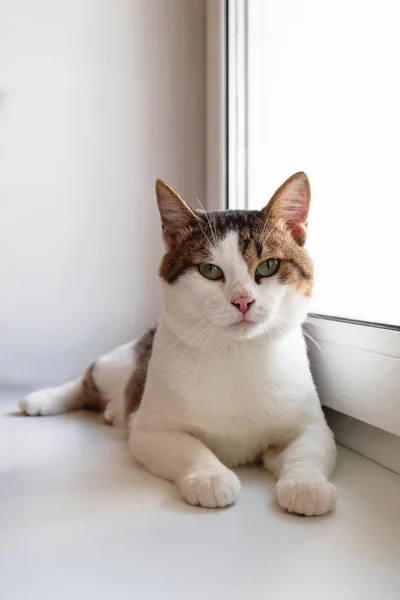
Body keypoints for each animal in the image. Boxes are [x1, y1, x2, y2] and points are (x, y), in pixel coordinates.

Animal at [19, 172, 338, 516]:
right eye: (209, 270)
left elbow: (308, 447)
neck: (236, 354)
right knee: (87, 378)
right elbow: (189, 447)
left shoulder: (312, 425)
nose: (243, 301)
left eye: (268, 266)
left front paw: (306, 484)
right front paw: (210, 476)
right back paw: (41, 400)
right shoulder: (150, 431)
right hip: (117, 364)